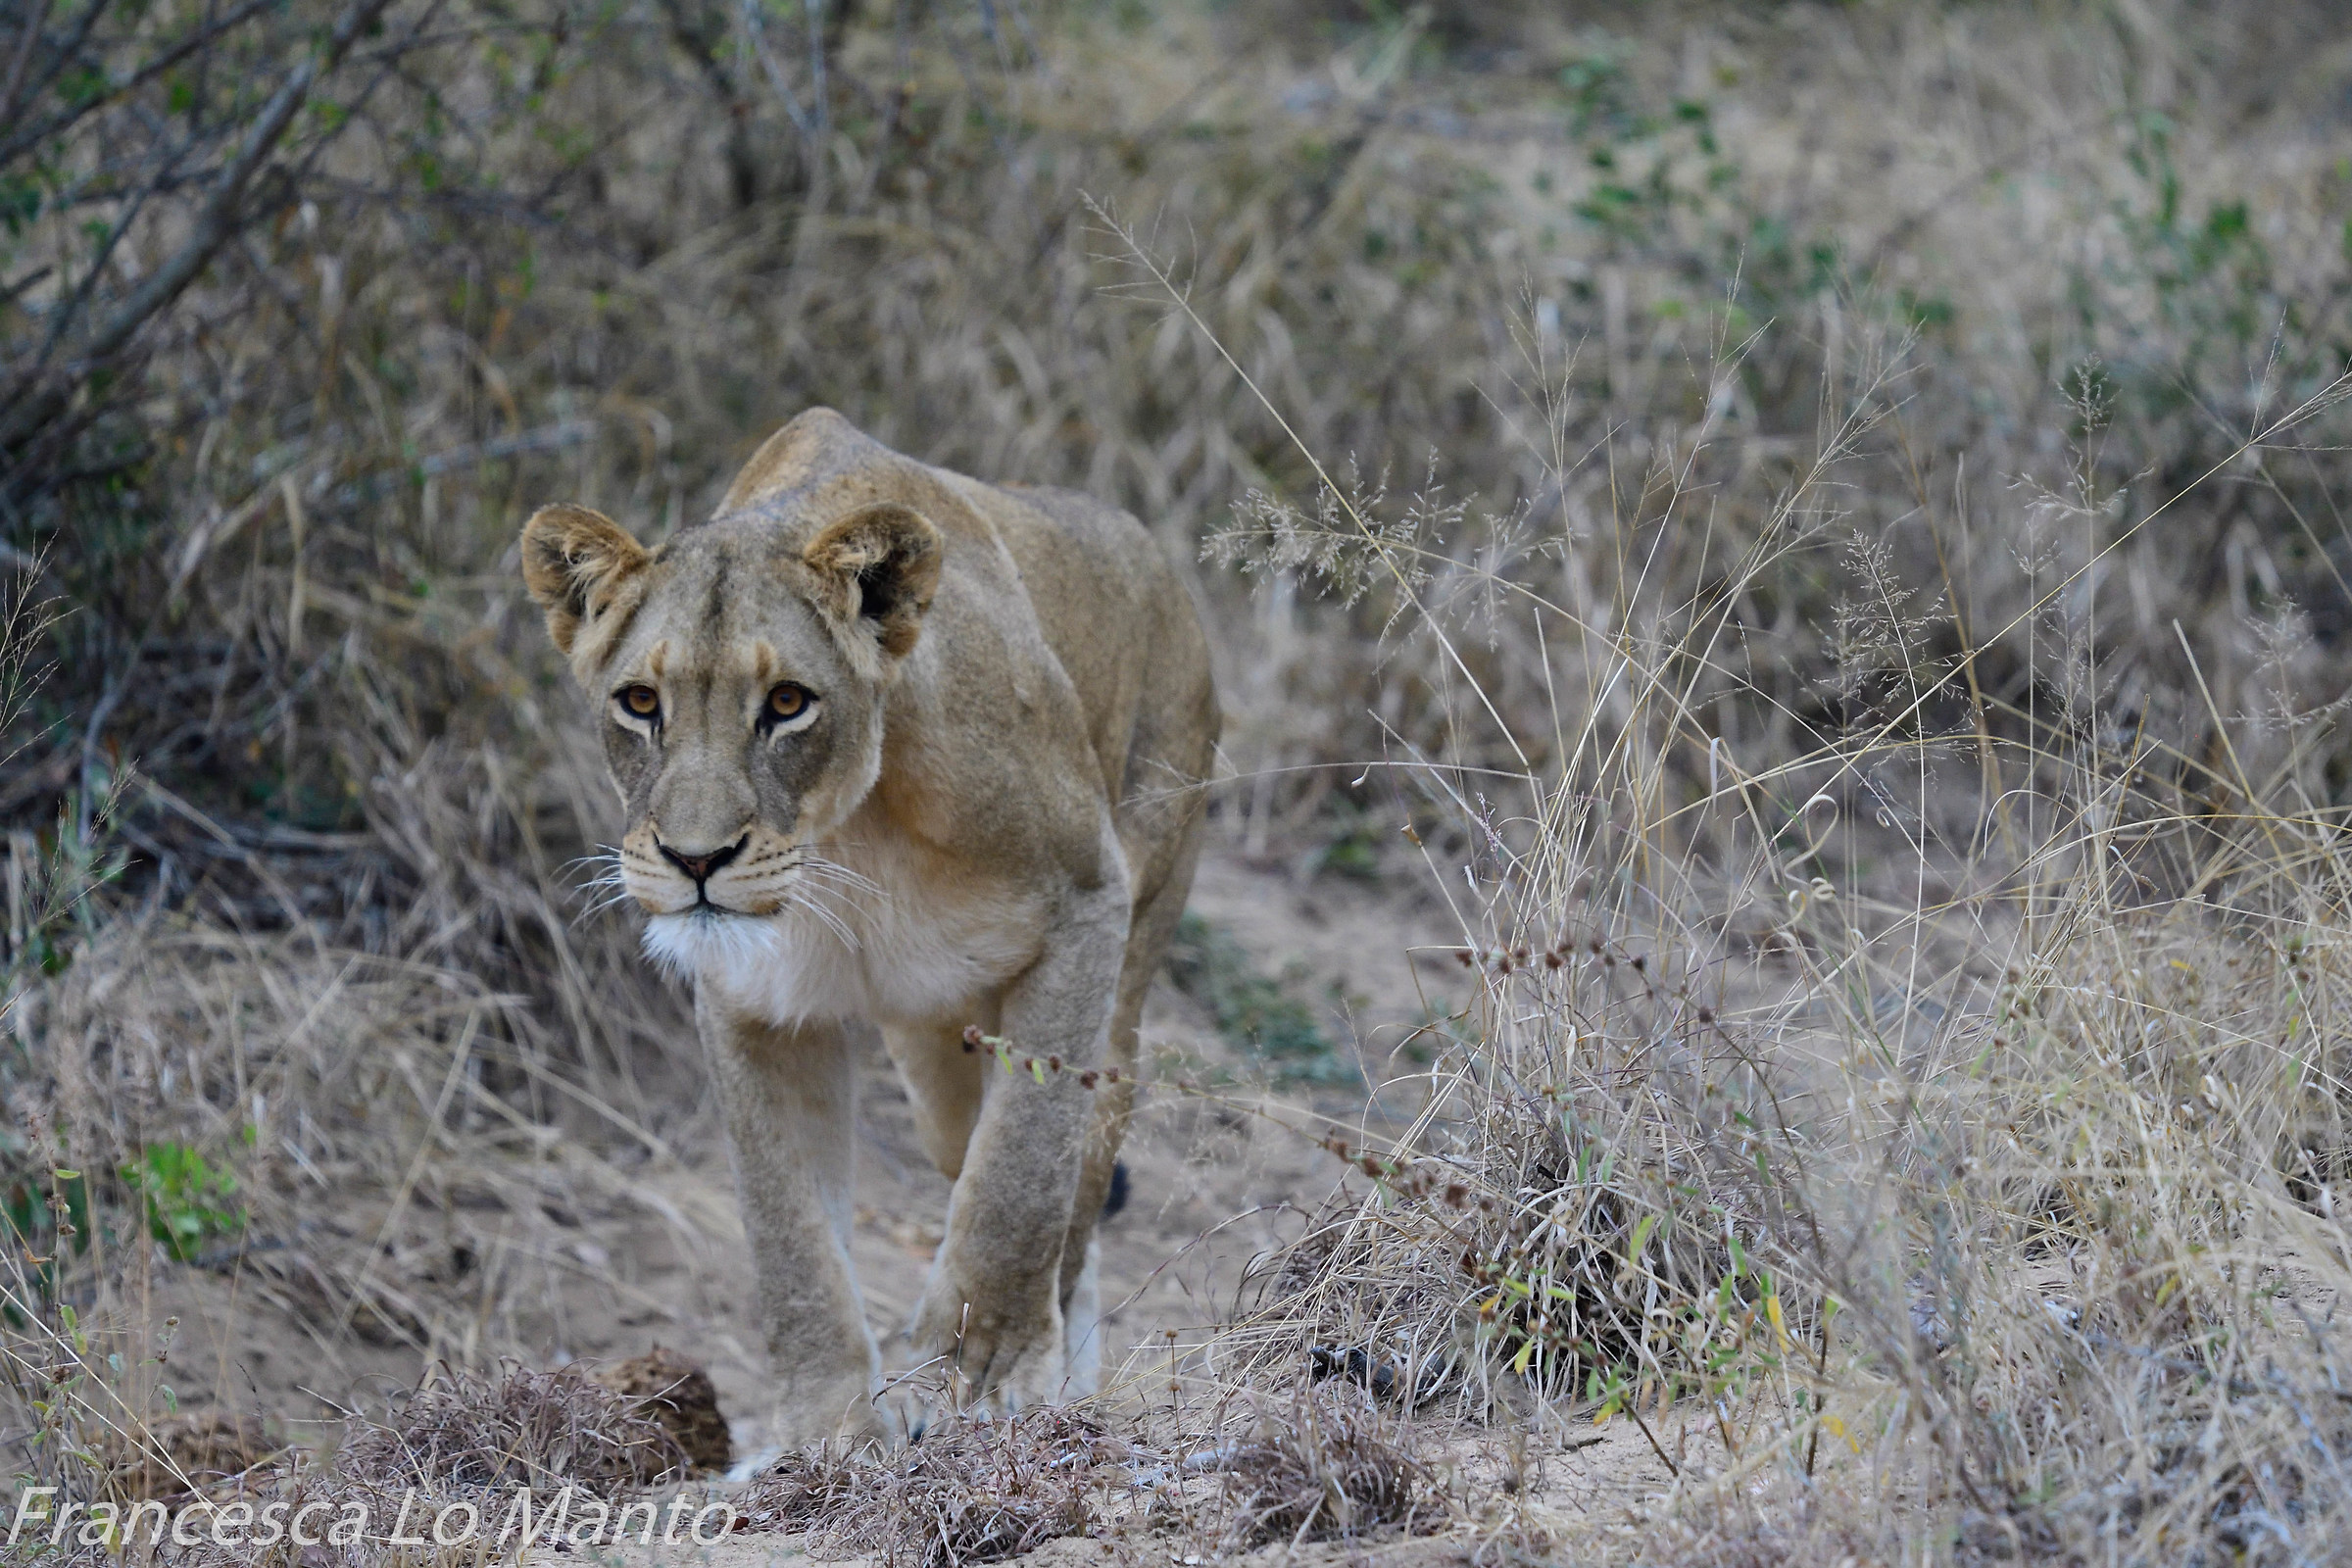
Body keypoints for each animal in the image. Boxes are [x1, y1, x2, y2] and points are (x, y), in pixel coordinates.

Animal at [520, 408, 1218, 1448]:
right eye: (640, 702)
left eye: (787, 703)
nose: (694, 861)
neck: (844, 840)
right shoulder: (754, 1004)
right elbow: (791, 1241)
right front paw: (827, 1436)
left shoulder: (1088, 902)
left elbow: (1019, 1179)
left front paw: (981, 1379)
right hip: (935, 1063)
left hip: (1133, 943)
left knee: (1078, 1191)